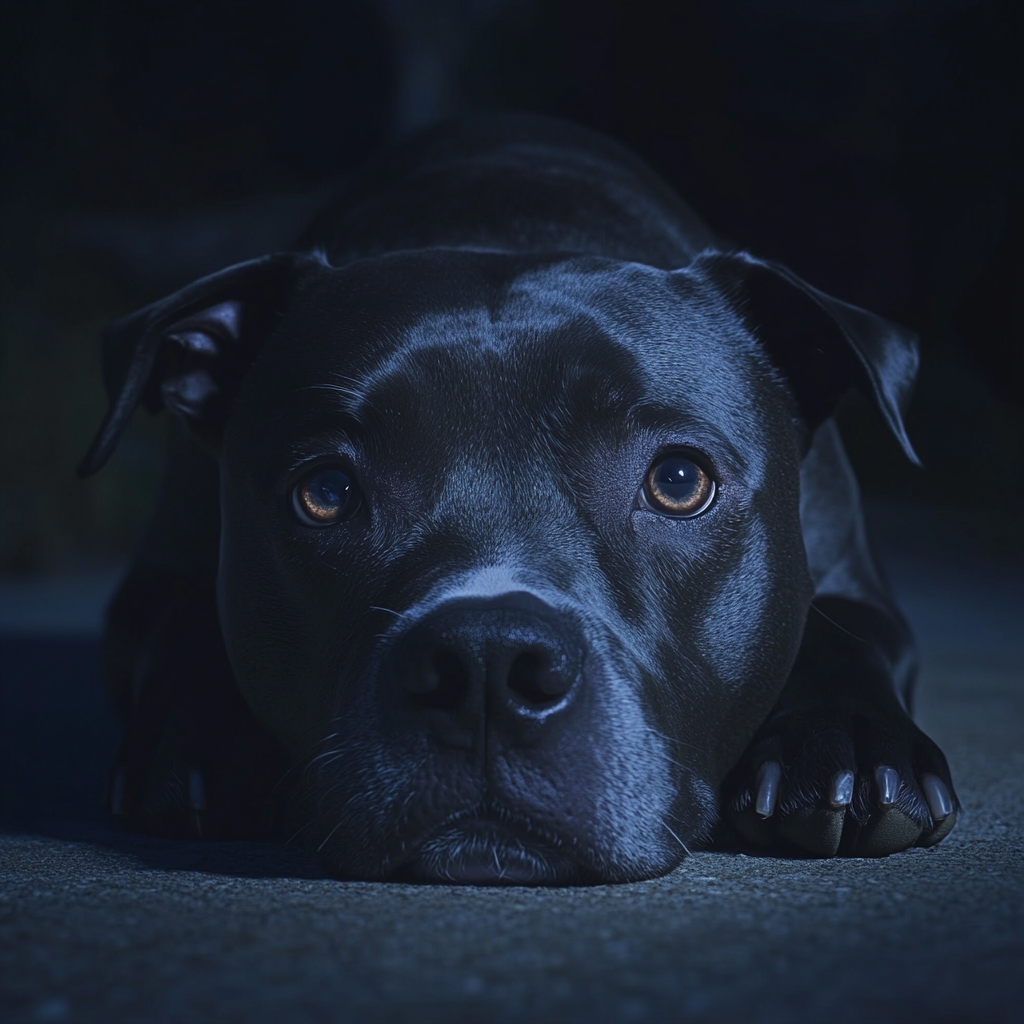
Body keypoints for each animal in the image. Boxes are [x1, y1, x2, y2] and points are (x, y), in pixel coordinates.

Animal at [81, 116, 958, 884]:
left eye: (678, 482)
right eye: (325, 492)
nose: (486, 664)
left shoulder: (854, 579)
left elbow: (846, 633)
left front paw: (850, 747)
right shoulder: (152, 585)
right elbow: (179, 623)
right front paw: (200, 737)